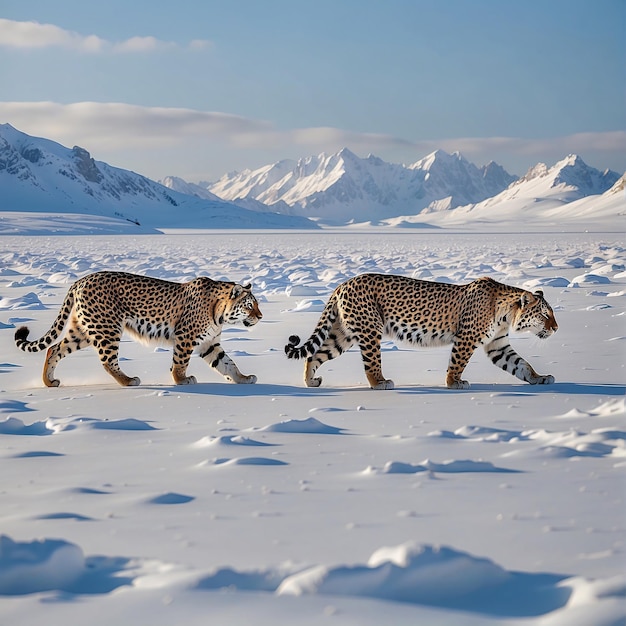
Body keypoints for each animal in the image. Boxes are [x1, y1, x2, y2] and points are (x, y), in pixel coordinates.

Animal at [14, 272, 264, 388]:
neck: (219, 313)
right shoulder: (185, 337)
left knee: (54, 349)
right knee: (107, 360)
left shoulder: (209, 343)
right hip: (107, 328)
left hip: (83, 331)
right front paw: (181, 380)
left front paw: (242, 378)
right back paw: (129, 380)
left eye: (257, 304)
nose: (260, 316)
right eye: (249, 305)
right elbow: (180, 362)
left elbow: (227, 363)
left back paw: (49, 382)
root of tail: (81, 280)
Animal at [284, 274, 556, 390]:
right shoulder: (466, 339)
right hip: (370, 330)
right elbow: (457, 363)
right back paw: (380, 383)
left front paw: (540, 378)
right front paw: (454, 383)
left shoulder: (498, 344)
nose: (556, 327)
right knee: (371, 364)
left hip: (343, 334)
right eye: (545, 314)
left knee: (315, 355)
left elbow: (521, 364)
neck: (506, 314)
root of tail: (342, 284)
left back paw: (311, 381)